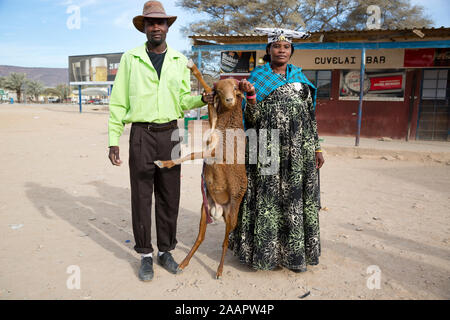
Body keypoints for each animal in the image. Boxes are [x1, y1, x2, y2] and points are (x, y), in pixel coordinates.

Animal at [155, 74, 246, 278]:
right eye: (219, 90)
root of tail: (220, 209)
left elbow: (191, 155)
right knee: (200, 237)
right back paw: (182, 264)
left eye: (235, 88)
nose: (230, 100)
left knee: (225, 241)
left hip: (232, 215)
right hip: (205, 210)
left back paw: (219, 270)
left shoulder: (214, 151)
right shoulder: (210, 135)